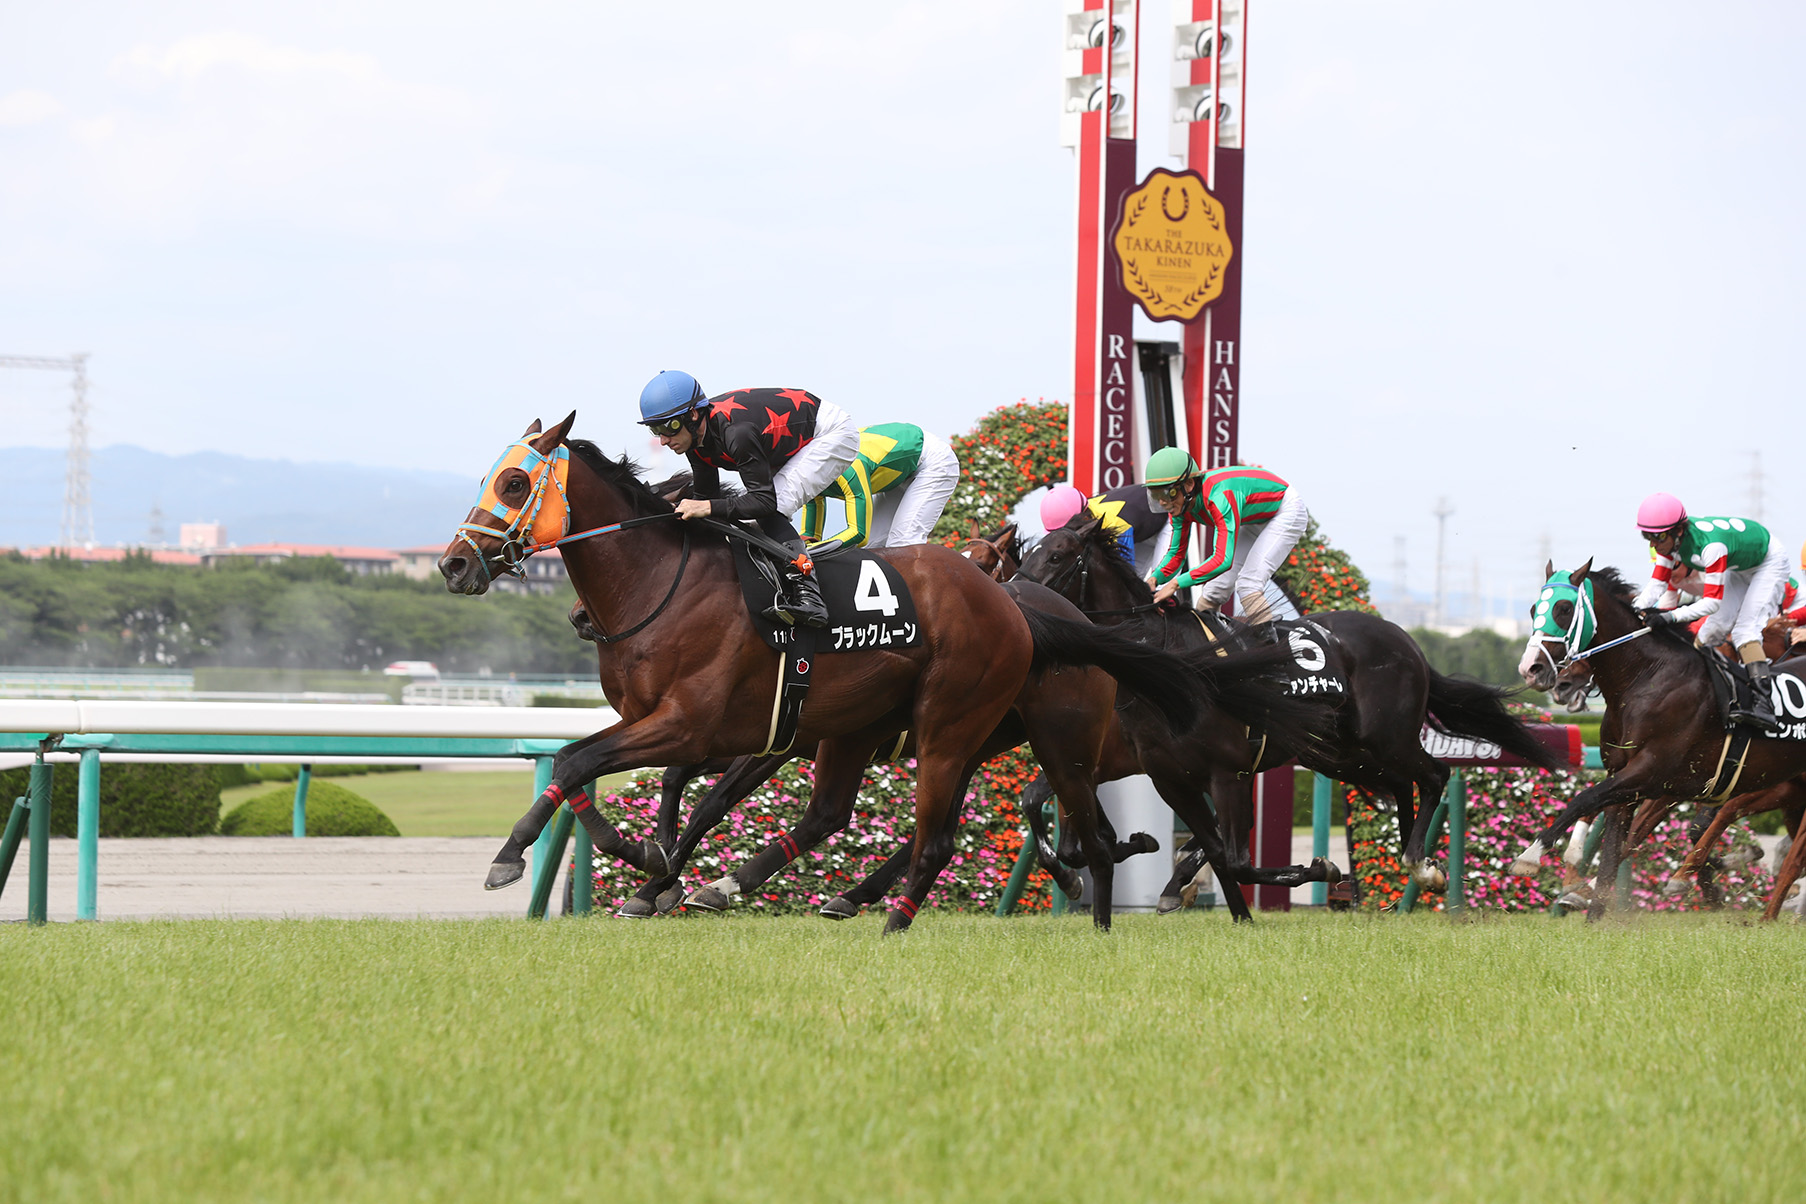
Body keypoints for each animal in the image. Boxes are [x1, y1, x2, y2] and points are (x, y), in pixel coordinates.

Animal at [444, 416, 1264, 931]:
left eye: (513, 484)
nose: (454, 564)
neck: (663, 584)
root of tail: (1021, 611)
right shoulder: (708, 728)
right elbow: (600, 771)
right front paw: (652, 869)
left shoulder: (713, 726)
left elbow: (598, 768)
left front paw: (542, 859)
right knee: (857, 816)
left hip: (968, 728)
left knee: (949, 824)